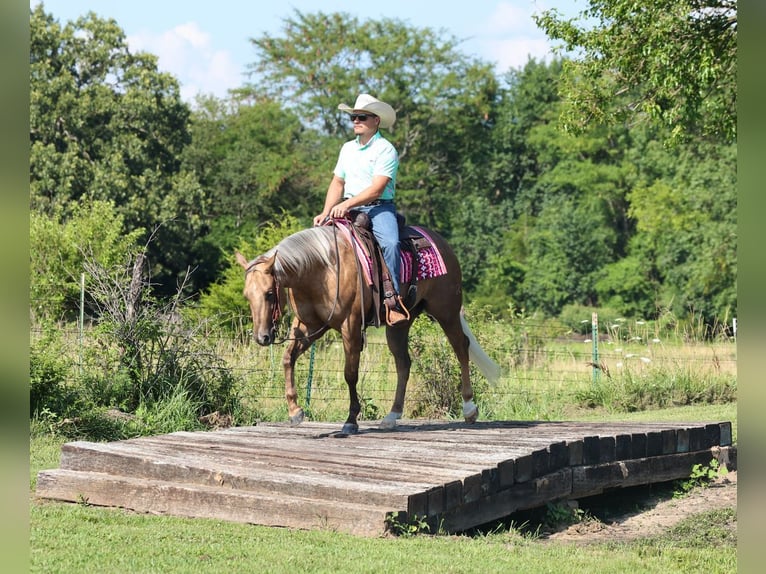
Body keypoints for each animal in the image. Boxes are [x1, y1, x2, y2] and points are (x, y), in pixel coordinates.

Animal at [236, 219, 501, 435]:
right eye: (247, 295)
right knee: (403, 363)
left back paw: (469, 408)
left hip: (446, 311)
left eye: (270, 294)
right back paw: (392, 416)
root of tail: (440, 241)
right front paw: (295, 411)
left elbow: (350, 373)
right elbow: (287, 359)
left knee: (461, 348)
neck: (322, 269)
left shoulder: (350, 326)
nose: (262, 337)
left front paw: (351, 420)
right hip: (399, 324)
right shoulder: (309, 327)